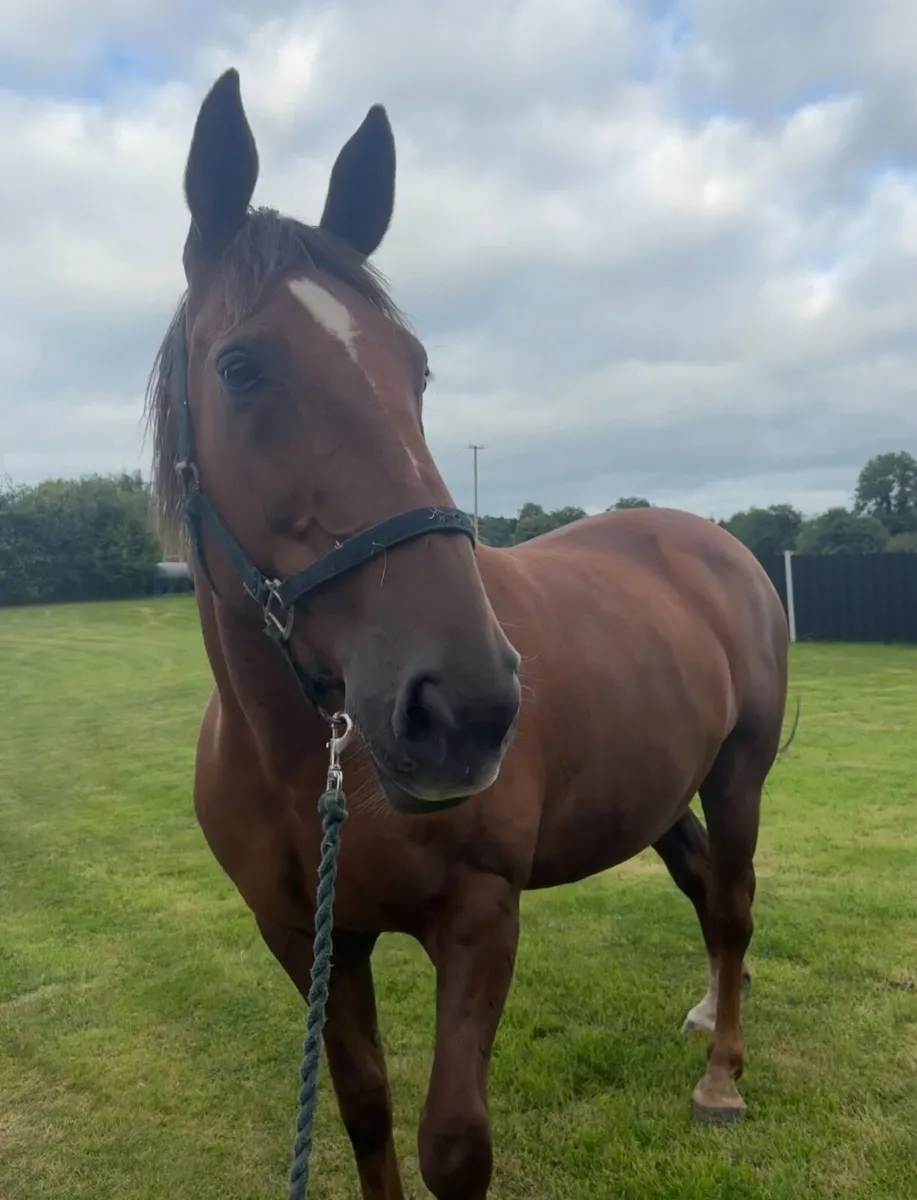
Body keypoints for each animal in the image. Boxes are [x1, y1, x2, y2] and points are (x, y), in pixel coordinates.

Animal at [144, 67, 791, 1200]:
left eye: (416, 369)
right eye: (239, 366)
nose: (466, 708)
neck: (305, 758)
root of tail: (715, 545)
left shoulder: (479, 919)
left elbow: (453, 1145)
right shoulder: (307, 936)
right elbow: (364, 1110)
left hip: (737, 771)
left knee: (735, 900)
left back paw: (722, 1074)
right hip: (661, 785)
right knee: (705, 887)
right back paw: (712, 1009)